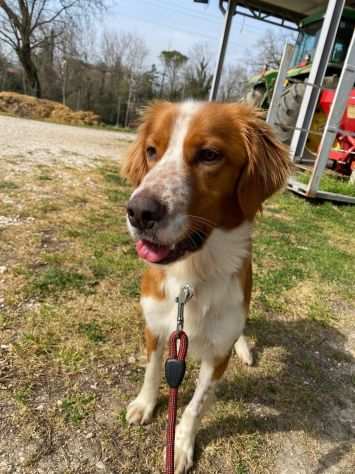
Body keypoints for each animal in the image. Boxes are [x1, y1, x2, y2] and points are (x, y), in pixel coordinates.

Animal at [121, 102, 290, 472]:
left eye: (209, 155)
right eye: (152, 151)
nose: (138, 212)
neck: (190, 277)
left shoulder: (217, 356)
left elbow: (195, 407)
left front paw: (181, 446)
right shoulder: (156, 328)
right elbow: (152, 372)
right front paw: (144, 404)